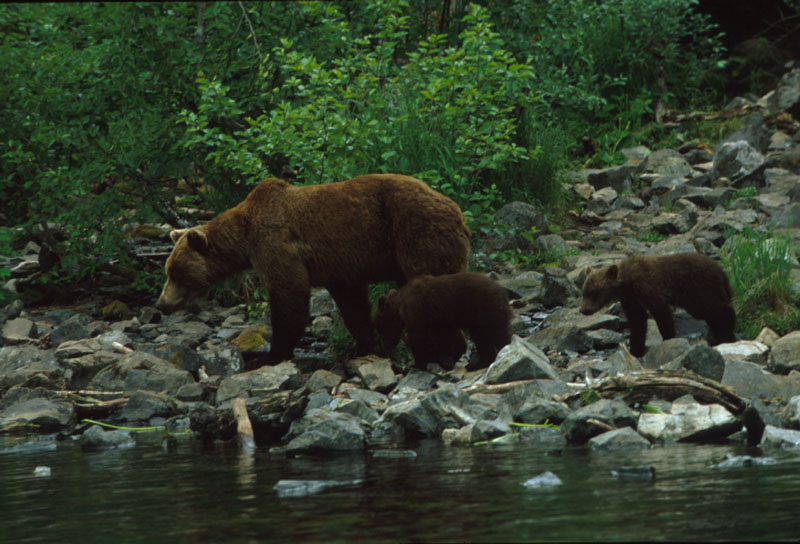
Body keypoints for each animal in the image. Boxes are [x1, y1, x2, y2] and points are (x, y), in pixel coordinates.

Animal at [155, 172, 468, 364]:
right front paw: (361, 345)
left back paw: (447, 350)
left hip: (419, 234)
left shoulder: (275, 241)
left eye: (175, 272)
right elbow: (352, 303)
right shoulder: (340, 267)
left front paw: (270, 354)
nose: (161, 304)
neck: (244, 237)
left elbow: (288, 294)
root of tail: (458, 211)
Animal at [372, 272, 510, 370]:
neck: (400, 307)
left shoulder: (417, 312)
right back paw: (478, 364)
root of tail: (501, 291)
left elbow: (418, 337)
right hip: (479, 319)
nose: (384, 346)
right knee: (483, 338)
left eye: (380, 327)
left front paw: (418, 364)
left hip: (486, 309)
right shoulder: (440, 320)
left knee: (498, 334)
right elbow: (444, 336)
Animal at [580, 254, 736, 356]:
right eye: (584, 292)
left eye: (594, 292)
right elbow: (637, 322)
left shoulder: (649, 288)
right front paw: (635, 350)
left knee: (717, 309)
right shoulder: (631, 300)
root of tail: (721, 270)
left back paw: (728, 334)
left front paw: (669, 339)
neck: (628, 284)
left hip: (698, 290)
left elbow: (661, 314)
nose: (583, 310)